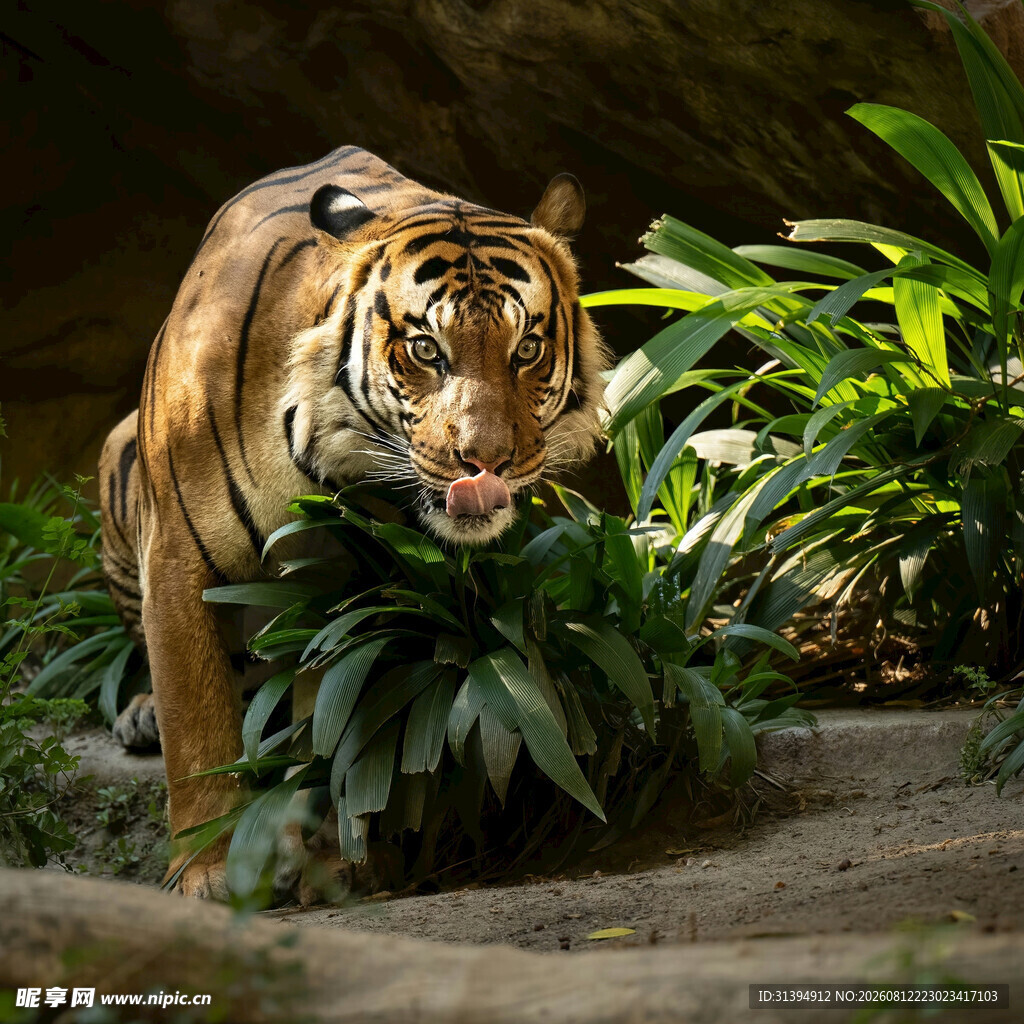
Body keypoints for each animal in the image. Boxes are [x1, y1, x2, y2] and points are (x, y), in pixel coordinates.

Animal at [98, 145, 609, 899]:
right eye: (427, 350)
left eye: (526, 350)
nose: (485, 462)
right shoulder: (177, 560)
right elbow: (197, 724)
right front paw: (207, 872)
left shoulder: (355, 584)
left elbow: (333, 722)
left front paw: (337, 860)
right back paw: (141, 715)